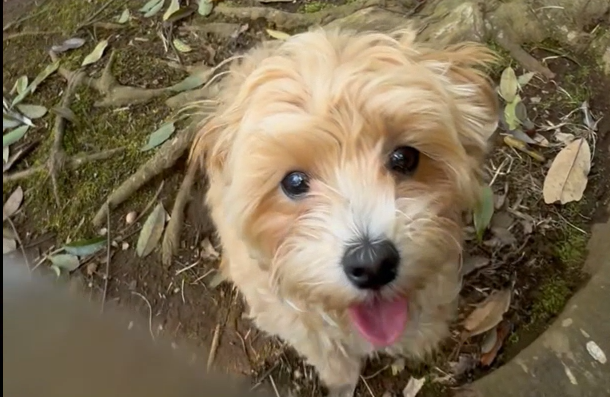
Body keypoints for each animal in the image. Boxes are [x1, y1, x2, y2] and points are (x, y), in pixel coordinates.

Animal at [191, 26, 498, 394]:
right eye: (294, 182)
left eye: (404, 157)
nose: (372, 264)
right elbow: (325, 350)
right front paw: (340, 379)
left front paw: (422, 341)